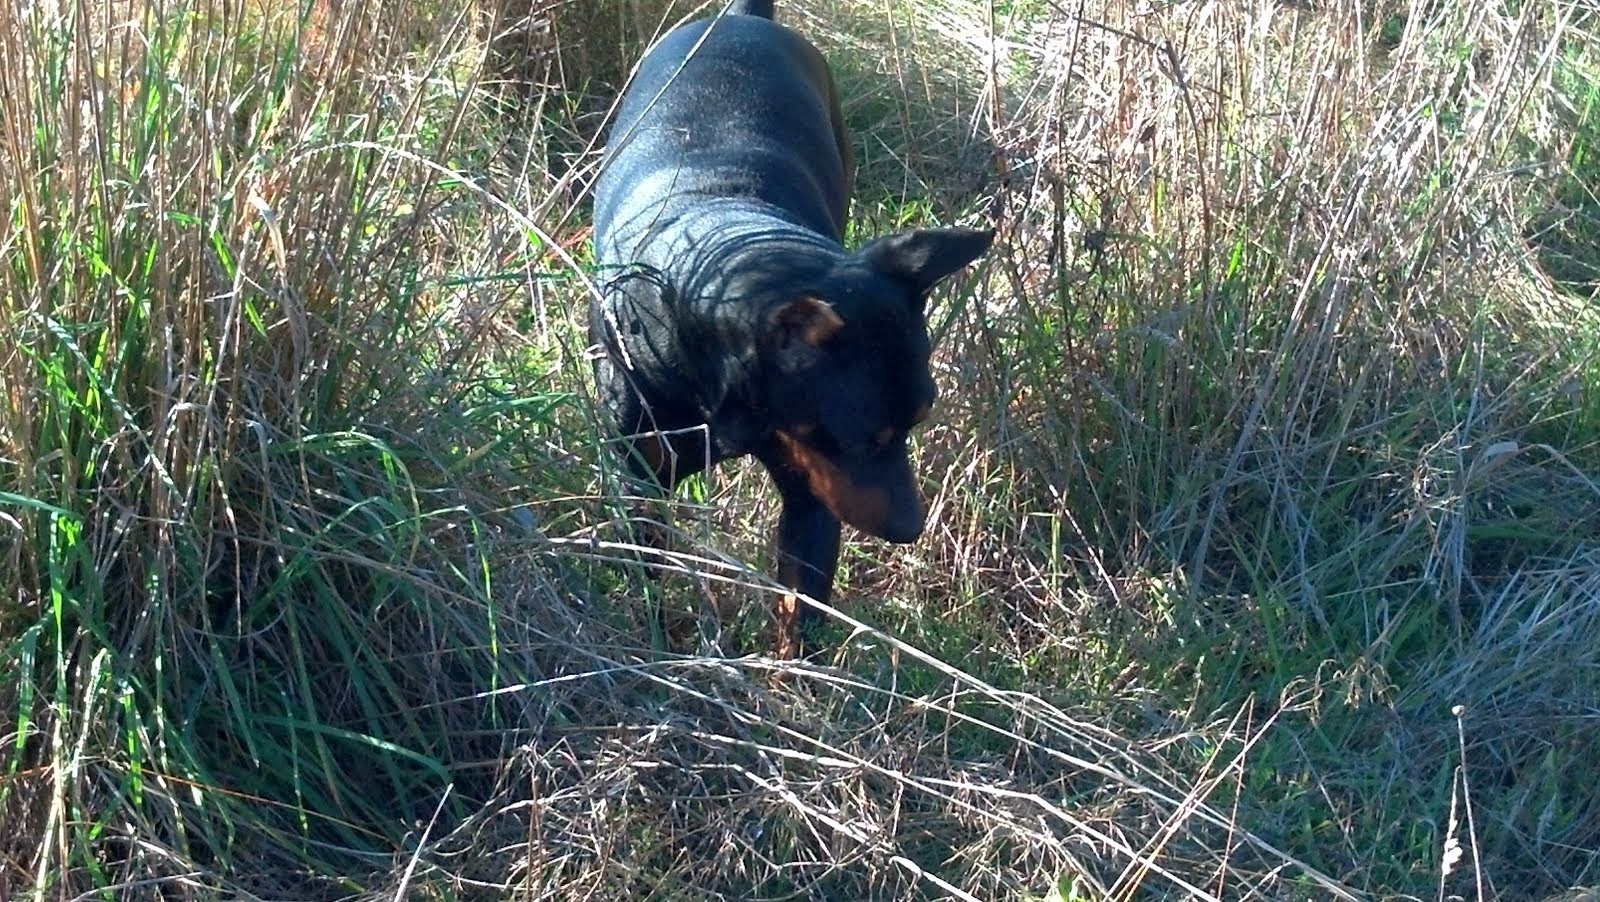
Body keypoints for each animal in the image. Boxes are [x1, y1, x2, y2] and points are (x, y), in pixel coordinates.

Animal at [588, 0, 985, 652]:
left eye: (921, 418)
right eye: (865, 438)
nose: (911, 528)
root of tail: (743, 16)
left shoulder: (814, 495)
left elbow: (801, 616)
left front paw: (795, 680)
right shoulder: (641, 476)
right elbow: (646, 573)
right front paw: (655, 648)